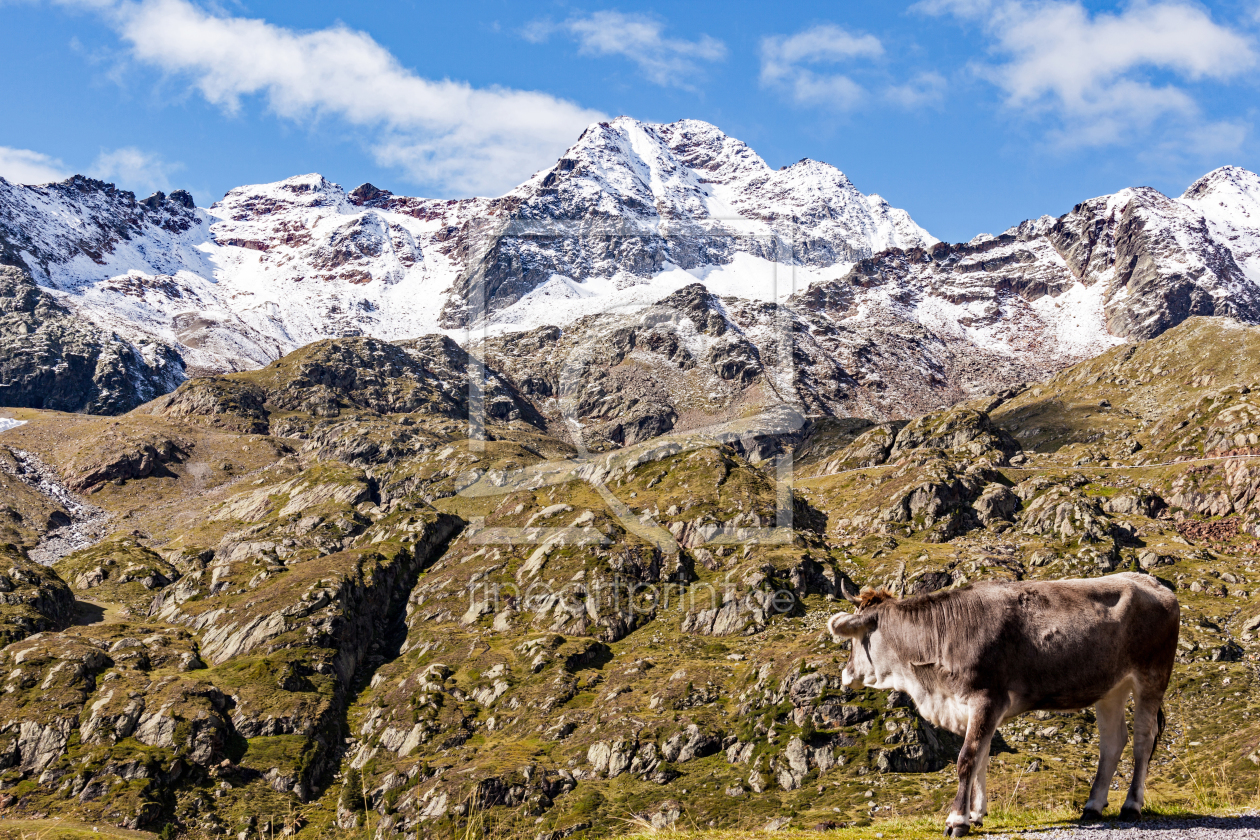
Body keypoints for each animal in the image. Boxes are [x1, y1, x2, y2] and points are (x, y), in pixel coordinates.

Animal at [826, 571, 1179, 836]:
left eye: (854, 640)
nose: (845, 674)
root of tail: (1153, 582)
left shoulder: (986, 698)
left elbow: (967, 759)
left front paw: (957, 820)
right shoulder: (974, 708)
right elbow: (982, 757)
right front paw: (976, 814)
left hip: (1152, 677)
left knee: (1142, 740)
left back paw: (1131, 806)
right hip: (1111, 689)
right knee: (1112, 741)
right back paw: (1092, 806)